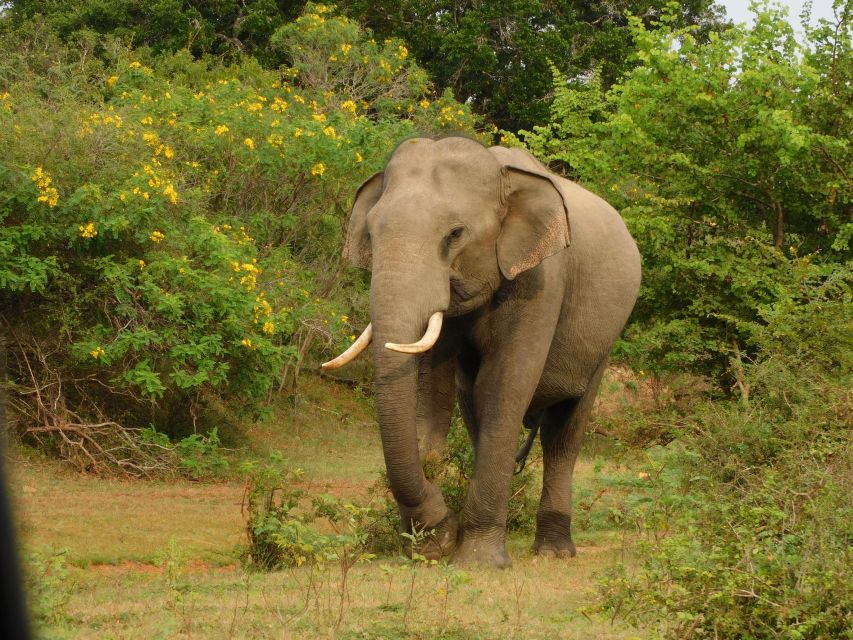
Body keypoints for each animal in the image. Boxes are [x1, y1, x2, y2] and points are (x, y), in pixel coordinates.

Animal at [322, 138, 640, 568]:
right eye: (371, 233)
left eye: (455, 234)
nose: (438, 530)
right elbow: (432, 392)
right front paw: (433, 543)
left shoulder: (542, 280)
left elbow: (505, 385)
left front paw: (479, 562)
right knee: (474, 409)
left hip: (606, 338)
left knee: (563, 434)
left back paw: (554, 552)